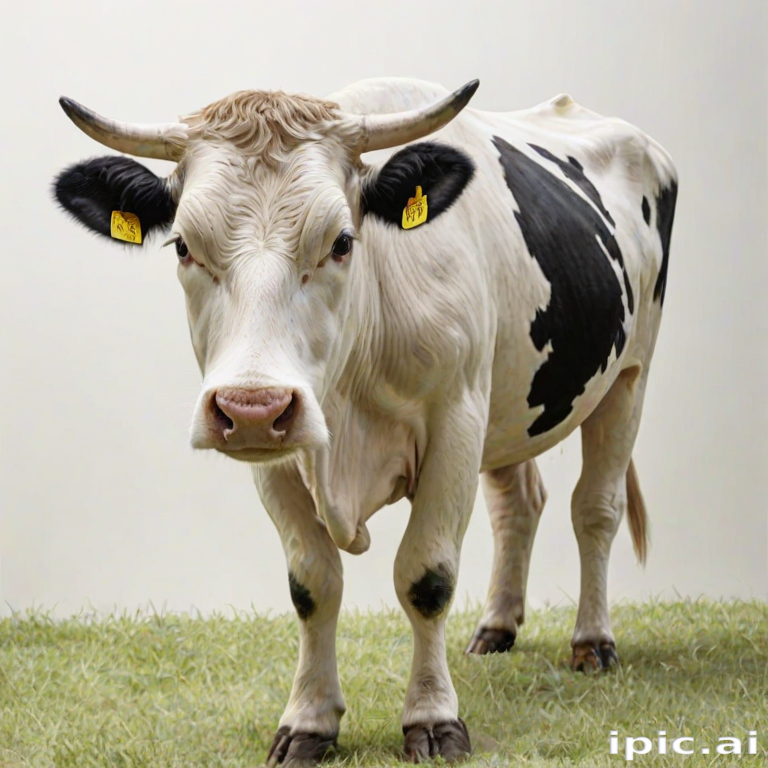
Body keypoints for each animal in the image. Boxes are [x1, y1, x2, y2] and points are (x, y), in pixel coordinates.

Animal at [52, 77, 677, 765]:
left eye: (342, 242)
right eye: (184, 246)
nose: (252, 409)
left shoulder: (456, 420)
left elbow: (427, 576)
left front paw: (432, 718)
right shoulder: (281, 459)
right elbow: (312, 583)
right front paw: (309, 721)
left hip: (630, 376)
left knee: (595, 508)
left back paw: (592, 642)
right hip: (511, 398)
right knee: (520, 504)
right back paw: (496, 627)